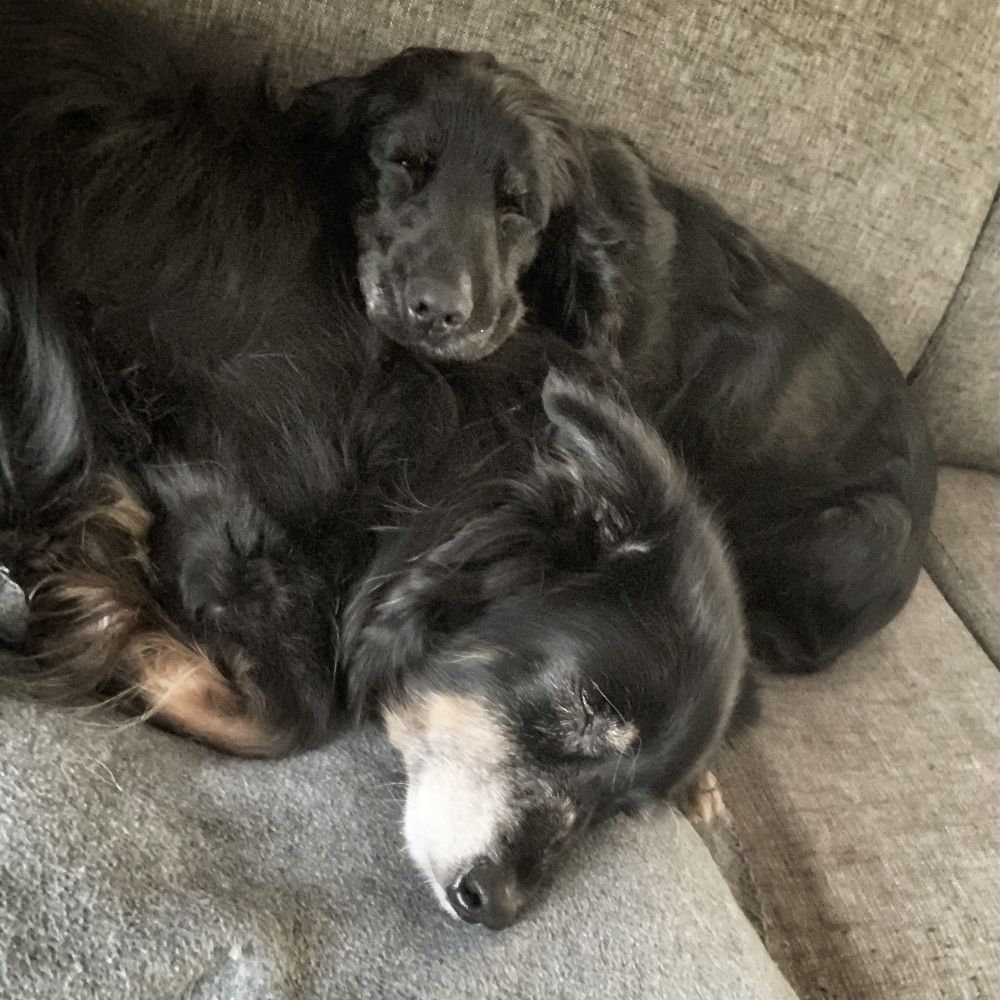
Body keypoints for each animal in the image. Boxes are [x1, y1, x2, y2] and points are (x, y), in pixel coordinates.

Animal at [0, 1, 749, 926]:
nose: (494, 904)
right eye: (571, 716)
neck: (428, 466)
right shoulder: (208, 471)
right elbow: (295, 714)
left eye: (621, 808)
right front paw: (102, 611)